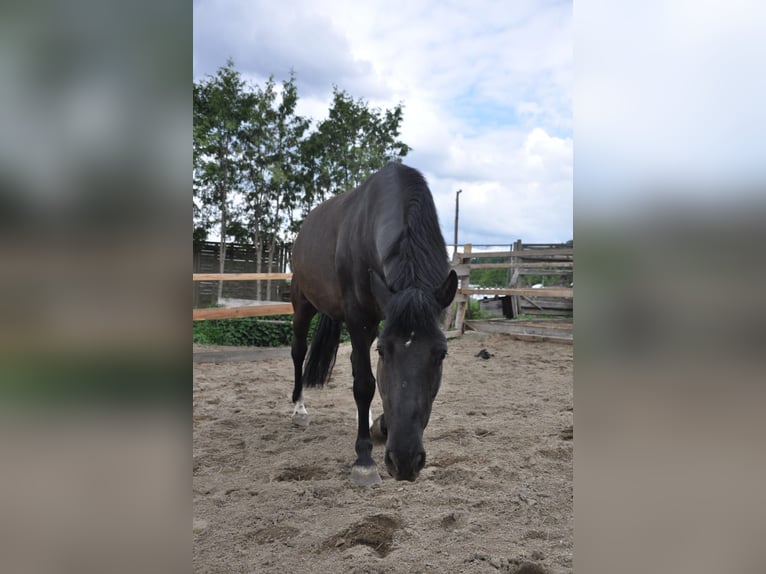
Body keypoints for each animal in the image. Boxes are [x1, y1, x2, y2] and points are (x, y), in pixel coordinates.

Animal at [288, 162, 456, 486]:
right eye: (384, 351)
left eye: (441, 353)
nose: (405, 461)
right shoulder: (358, 317)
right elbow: (365, 383)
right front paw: (364, 460)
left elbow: (371, 377)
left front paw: (380, 425)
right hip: (303, 304)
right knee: (298, 351)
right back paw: (299, 410)